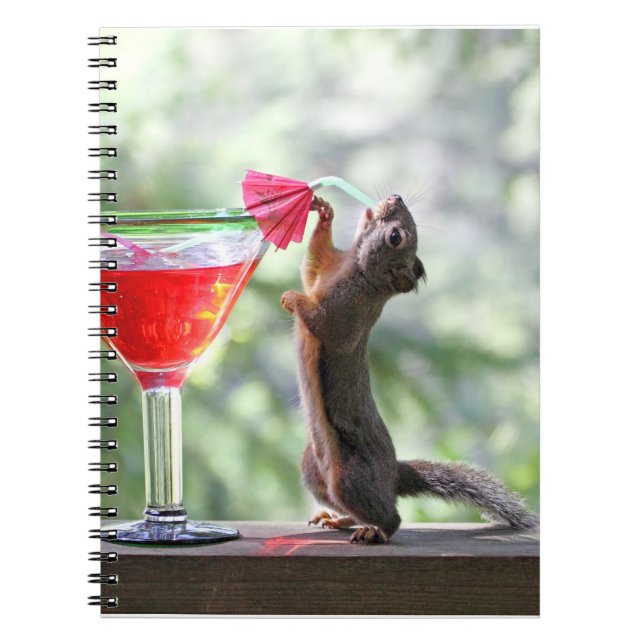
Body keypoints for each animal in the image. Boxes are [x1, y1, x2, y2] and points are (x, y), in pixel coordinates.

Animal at [280, 194, 538, 544]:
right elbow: (310, 266)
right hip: (312, 467)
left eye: (395, 237)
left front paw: (292, 297)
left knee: (392, 517)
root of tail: (393, 475)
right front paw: (323, 212)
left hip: (349, 477)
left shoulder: (345, 315)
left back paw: (374, 532)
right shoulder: (323, 271)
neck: (355, 269)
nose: (396, 197)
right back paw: (338, 519)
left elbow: (320, 320)